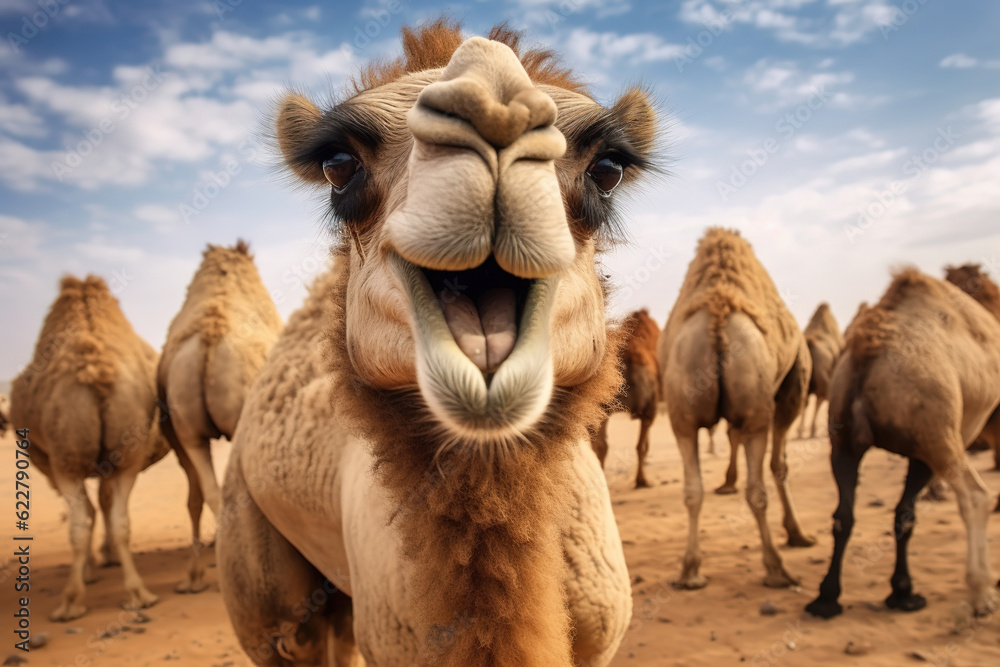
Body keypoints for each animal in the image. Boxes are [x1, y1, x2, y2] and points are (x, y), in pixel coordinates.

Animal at [9, 276, 170, 621]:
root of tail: (96, 371)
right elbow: (107, 507)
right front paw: (104, 559)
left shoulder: (48, 460)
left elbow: (91, 511)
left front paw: (92, 568)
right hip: (126, 451)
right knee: (118, 518)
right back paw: (138, 593)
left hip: (64, 458)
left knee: (80, 522)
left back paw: (71, 601)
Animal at [658, 228, 814, 590]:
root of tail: (717, 313)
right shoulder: (790, 390)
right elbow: (779, 466)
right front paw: (797, 534)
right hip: (762, 408)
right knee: (760, 486)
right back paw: (777, 567)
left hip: (681, 410)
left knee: (693, 489)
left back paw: (690, 572)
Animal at [806, 268, 1000, 619]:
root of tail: (867, 357)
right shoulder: (930, 444)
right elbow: (908, 511)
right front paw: (905, 593)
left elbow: (903, 514)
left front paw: (901, 592)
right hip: (936, 434)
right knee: (975, 495)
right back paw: (982, 593)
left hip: (843, 439)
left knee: (844, 513)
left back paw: (826, 599)